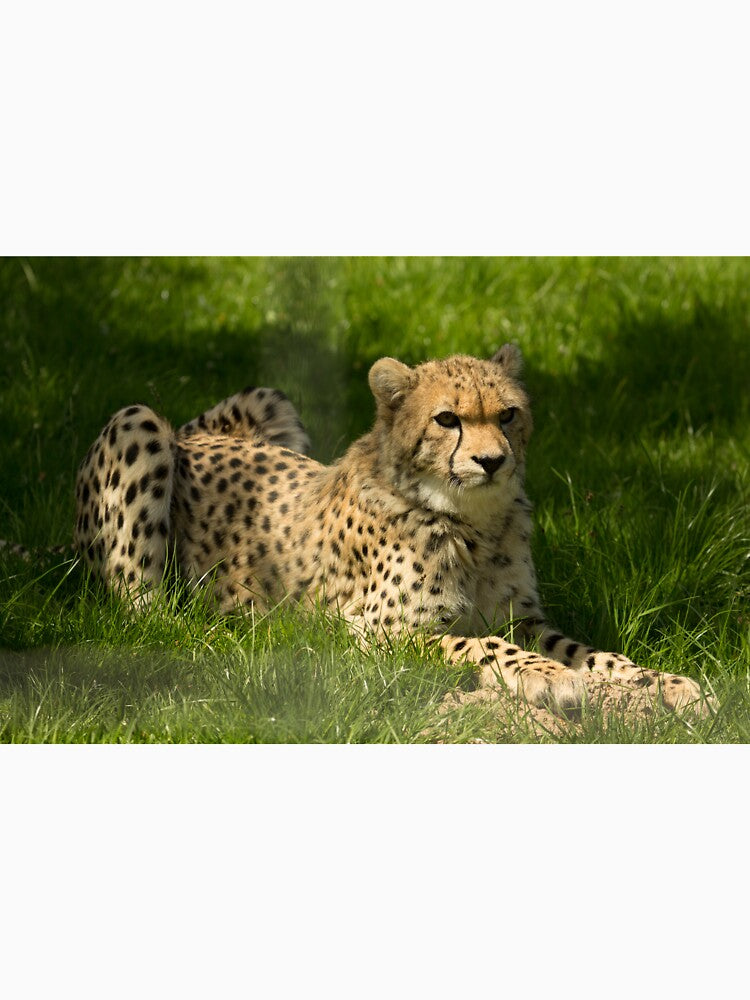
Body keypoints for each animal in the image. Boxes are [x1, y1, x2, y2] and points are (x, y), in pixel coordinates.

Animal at [72, 344, 707, 715]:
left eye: (508, 414)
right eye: (447, 419)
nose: (492, 461)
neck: (472, 523)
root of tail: (191, 433)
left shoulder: (523, 617)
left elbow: (590, 651)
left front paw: (660, 682)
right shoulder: (374, 634)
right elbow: (485, 645)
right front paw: (549, 677)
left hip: (273, 401)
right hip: (139, 423)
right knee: (147, 616)